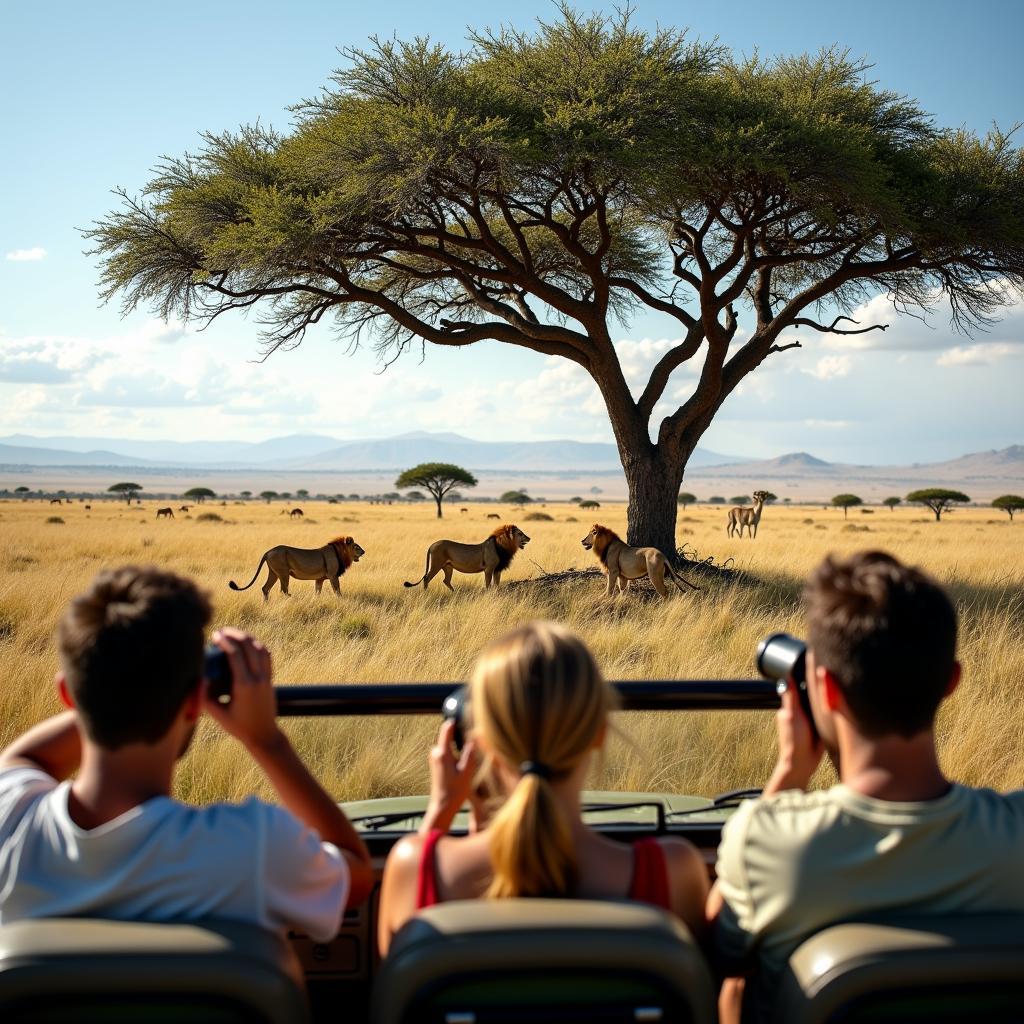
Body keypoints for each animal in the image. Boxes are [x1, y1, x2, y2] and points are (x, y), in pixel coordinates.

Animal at [228, 536, 364, 598]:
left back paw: (265, 605)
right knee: (283, 590)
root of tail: (268, 551)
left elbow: (317, 592)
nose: (364, 551)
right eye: (356, 547)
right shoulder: (333, 576)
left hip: (274, 573)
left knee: (265, 588)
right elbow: (337, 591)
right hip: (283, 574)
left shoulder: (319, 579)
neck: (341, 553)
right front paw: (340, 600)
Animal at [403, 528, 532, 593]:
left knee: (446, 581)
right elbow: (488, 584)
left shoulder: (497, 570)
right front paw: (488, 594)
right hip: (436, 564)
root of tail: (432, 544)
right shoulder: (489, 569)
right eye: (520, 533)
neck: (503, 546)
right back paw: (426, 593)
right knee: (427, 578)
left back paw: (455, 593)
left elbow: (496, 583)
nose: (529, 538)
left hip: (448, 567)